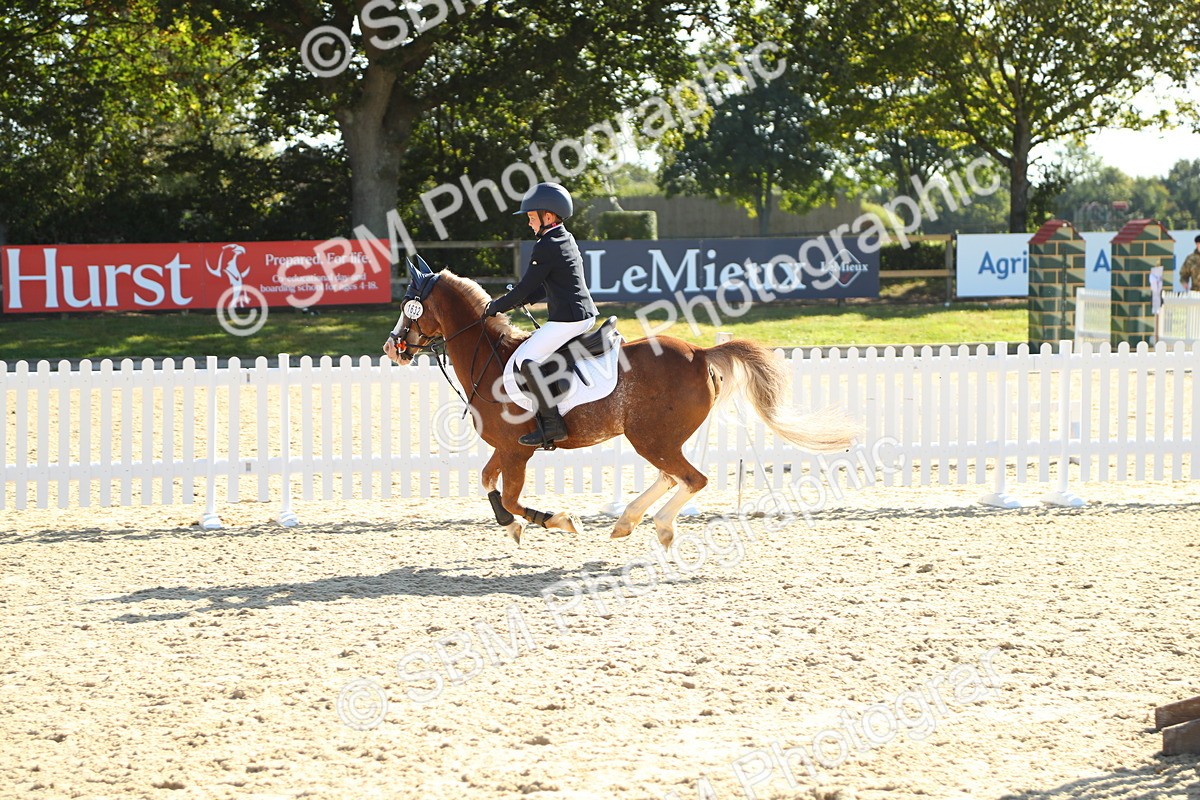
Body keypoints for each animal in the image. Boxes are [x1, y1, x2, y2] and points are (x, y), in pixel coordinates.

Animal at [384, 258, 859, 546]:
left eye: (411, 306)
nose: (392, 348)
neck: (489, 354)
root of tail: (699, 352)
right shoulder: (505, 448)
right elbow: (487, 482)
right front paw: (512, 526)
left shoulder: (517, 452)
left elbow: (513, 496)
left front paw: (557, 521)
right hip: (656, 437)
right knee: (673, 476)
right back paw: (628, 521)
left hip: (649, 437)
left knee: (691, 478)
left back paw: (658, 527)